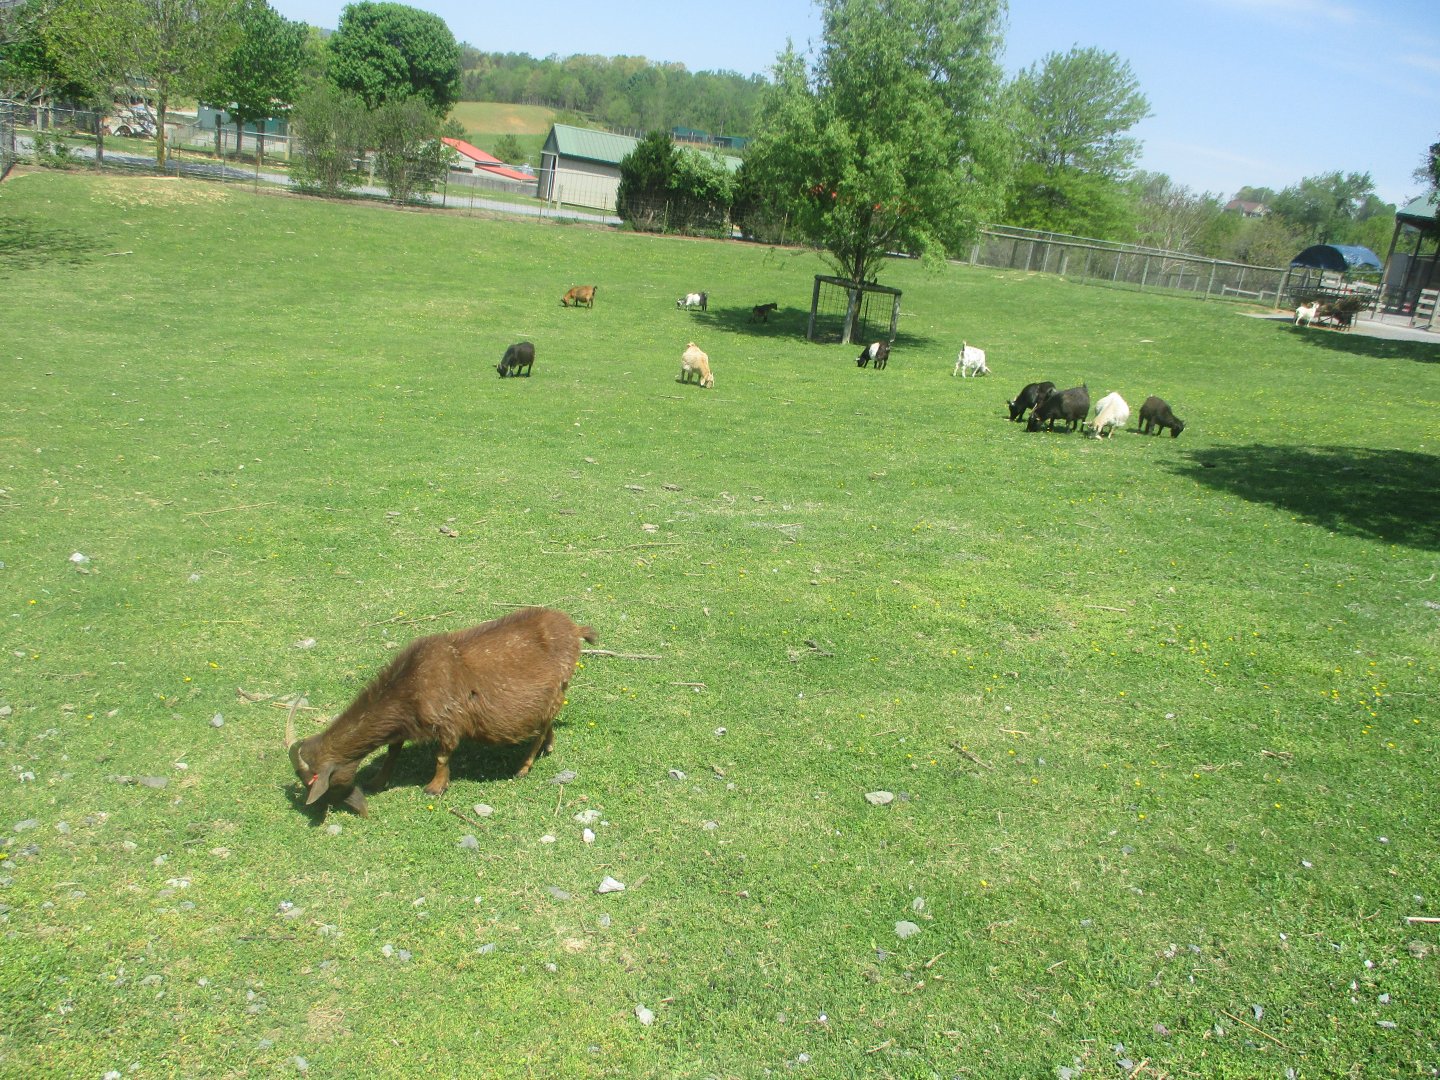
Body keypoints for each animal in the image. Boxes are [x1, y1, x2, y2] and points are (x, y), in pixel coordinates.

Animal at [285, 608, 597, 816]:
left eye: (316, 782)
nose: (362, 810)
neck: (409, 684)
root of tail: (575, 629)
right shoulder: (404, 726)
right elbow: (393, 751)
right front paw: (378, 781)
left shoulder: (447, 720)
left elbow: (442, 756)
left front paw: (435, 787)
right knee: (547, 724)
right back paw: (548, 746)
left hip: (556, 690)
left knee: (542, 726)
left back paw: (524, 766)